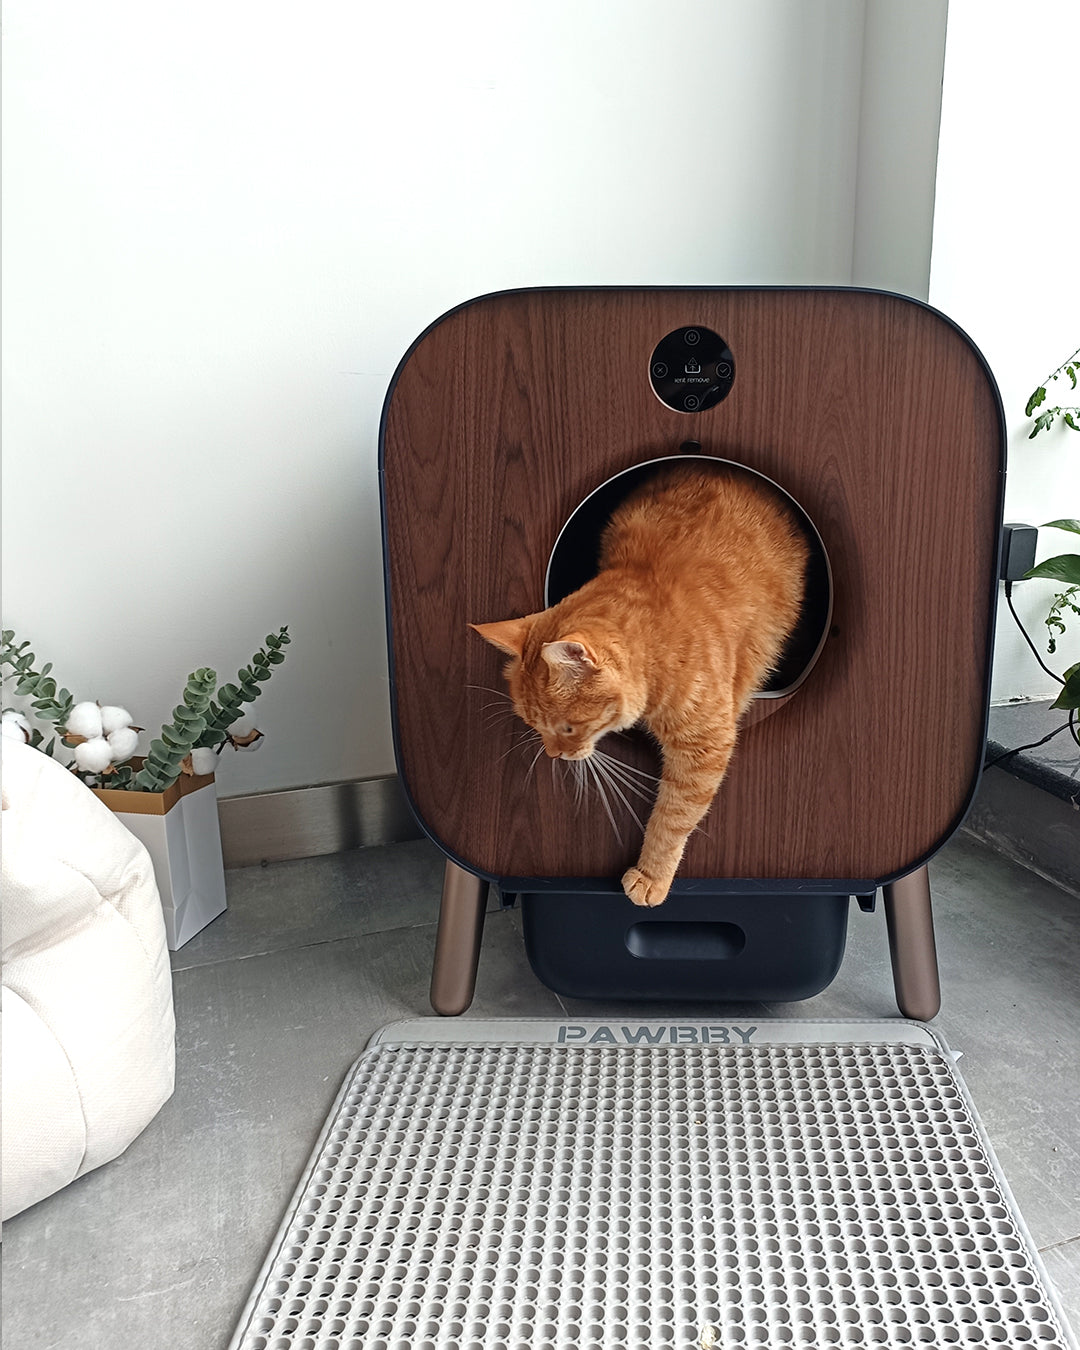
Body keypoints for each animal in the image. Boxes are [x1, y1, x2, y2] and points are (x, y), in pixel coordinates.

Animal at [472, 462, 810, 907]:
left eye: (568, 728)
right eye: (535, 726)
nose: (554, 756)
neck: (658, 638)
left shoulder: (704, 746)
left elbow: (673, 816)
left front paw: (651, 876)